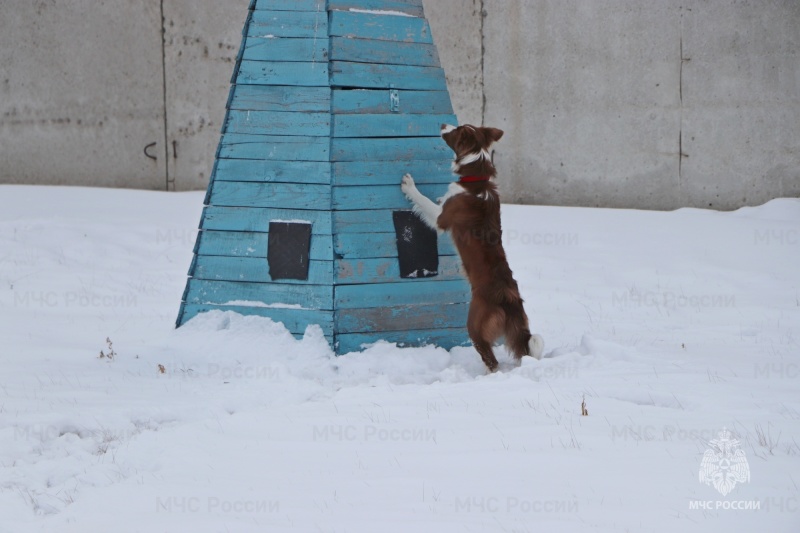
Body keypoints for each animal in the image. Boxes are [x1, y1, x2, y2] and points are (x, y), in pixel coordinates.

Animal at [400, 122, 544, 372]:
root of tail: (508, 299)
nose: (442, 124)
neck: (476, 179)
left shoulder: (442, 217)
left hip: (475, 324)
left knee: (491, 360)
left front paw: (410, 186)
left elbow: (424, 201)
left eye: (455, 130)